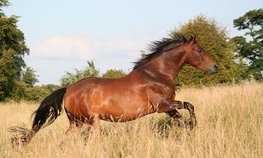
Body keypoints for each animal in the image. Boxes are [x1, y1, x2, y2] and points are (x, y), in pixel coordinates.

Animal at [10, 34, 219, 146]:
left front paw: (190, 130)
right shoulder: (163, 106)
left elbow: (182, 120)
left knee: (66, 141)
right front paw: (193, 124)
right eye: (200, 51)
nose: (215, 67)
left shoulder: (169, 108)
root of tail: (68, 89)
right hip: (91, 122)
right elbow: (190, 105)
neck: (157, 74)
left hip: (76, 123)